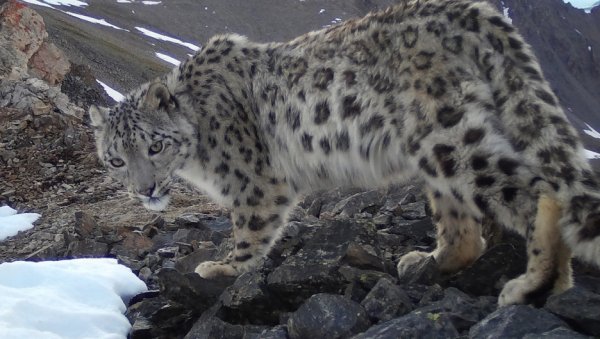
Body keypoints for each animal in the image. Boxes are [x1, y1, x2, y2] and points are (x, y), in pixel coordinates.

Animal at [90, 0, 600, 306]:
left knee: (539, 192)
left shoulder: (256, 182)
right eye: (115, 160)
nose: (146, 190)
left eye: (155, 145)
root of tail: (467, 9)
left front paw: (221, 266)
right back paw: (427, 261)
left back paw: (533, 284)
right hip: (438, 154)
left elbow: (250, 230)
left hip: (451, 136)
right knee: (466, 230)